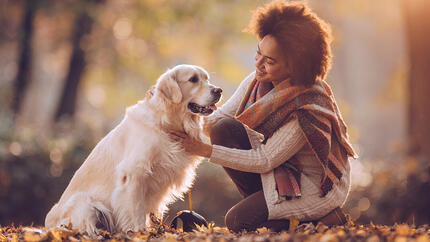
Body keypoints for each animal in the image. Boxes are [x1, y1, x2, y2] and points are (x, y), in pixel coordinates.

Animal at [44, 64, 222, 234]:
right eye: (193, 79)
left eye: (206, 78)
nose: (219, 90)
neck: (165, 122)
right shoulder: (134, 174)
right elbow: (136, 209)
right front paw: (139, 232)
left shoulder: (161, 178)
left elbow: (155, 211)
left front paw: (157, 230)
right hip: (85, 203)